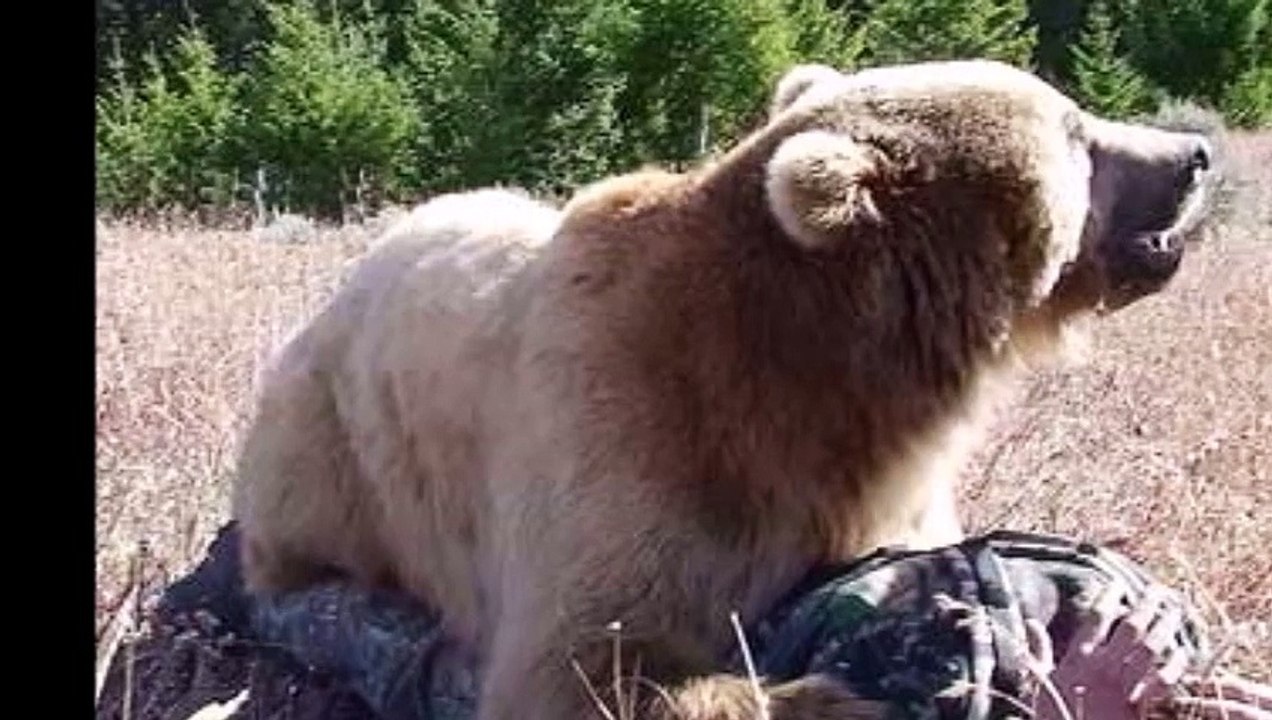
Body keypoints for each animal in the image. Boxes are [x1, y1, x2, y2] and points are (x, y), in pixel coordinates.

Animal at [232, 59, 1215, 720]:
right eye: (1077, 132)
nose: (1194, 153)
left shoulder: (876, 483)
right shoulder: (625, 428)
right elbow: (584, 663)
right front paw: (840, 696)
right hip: (326, 459)